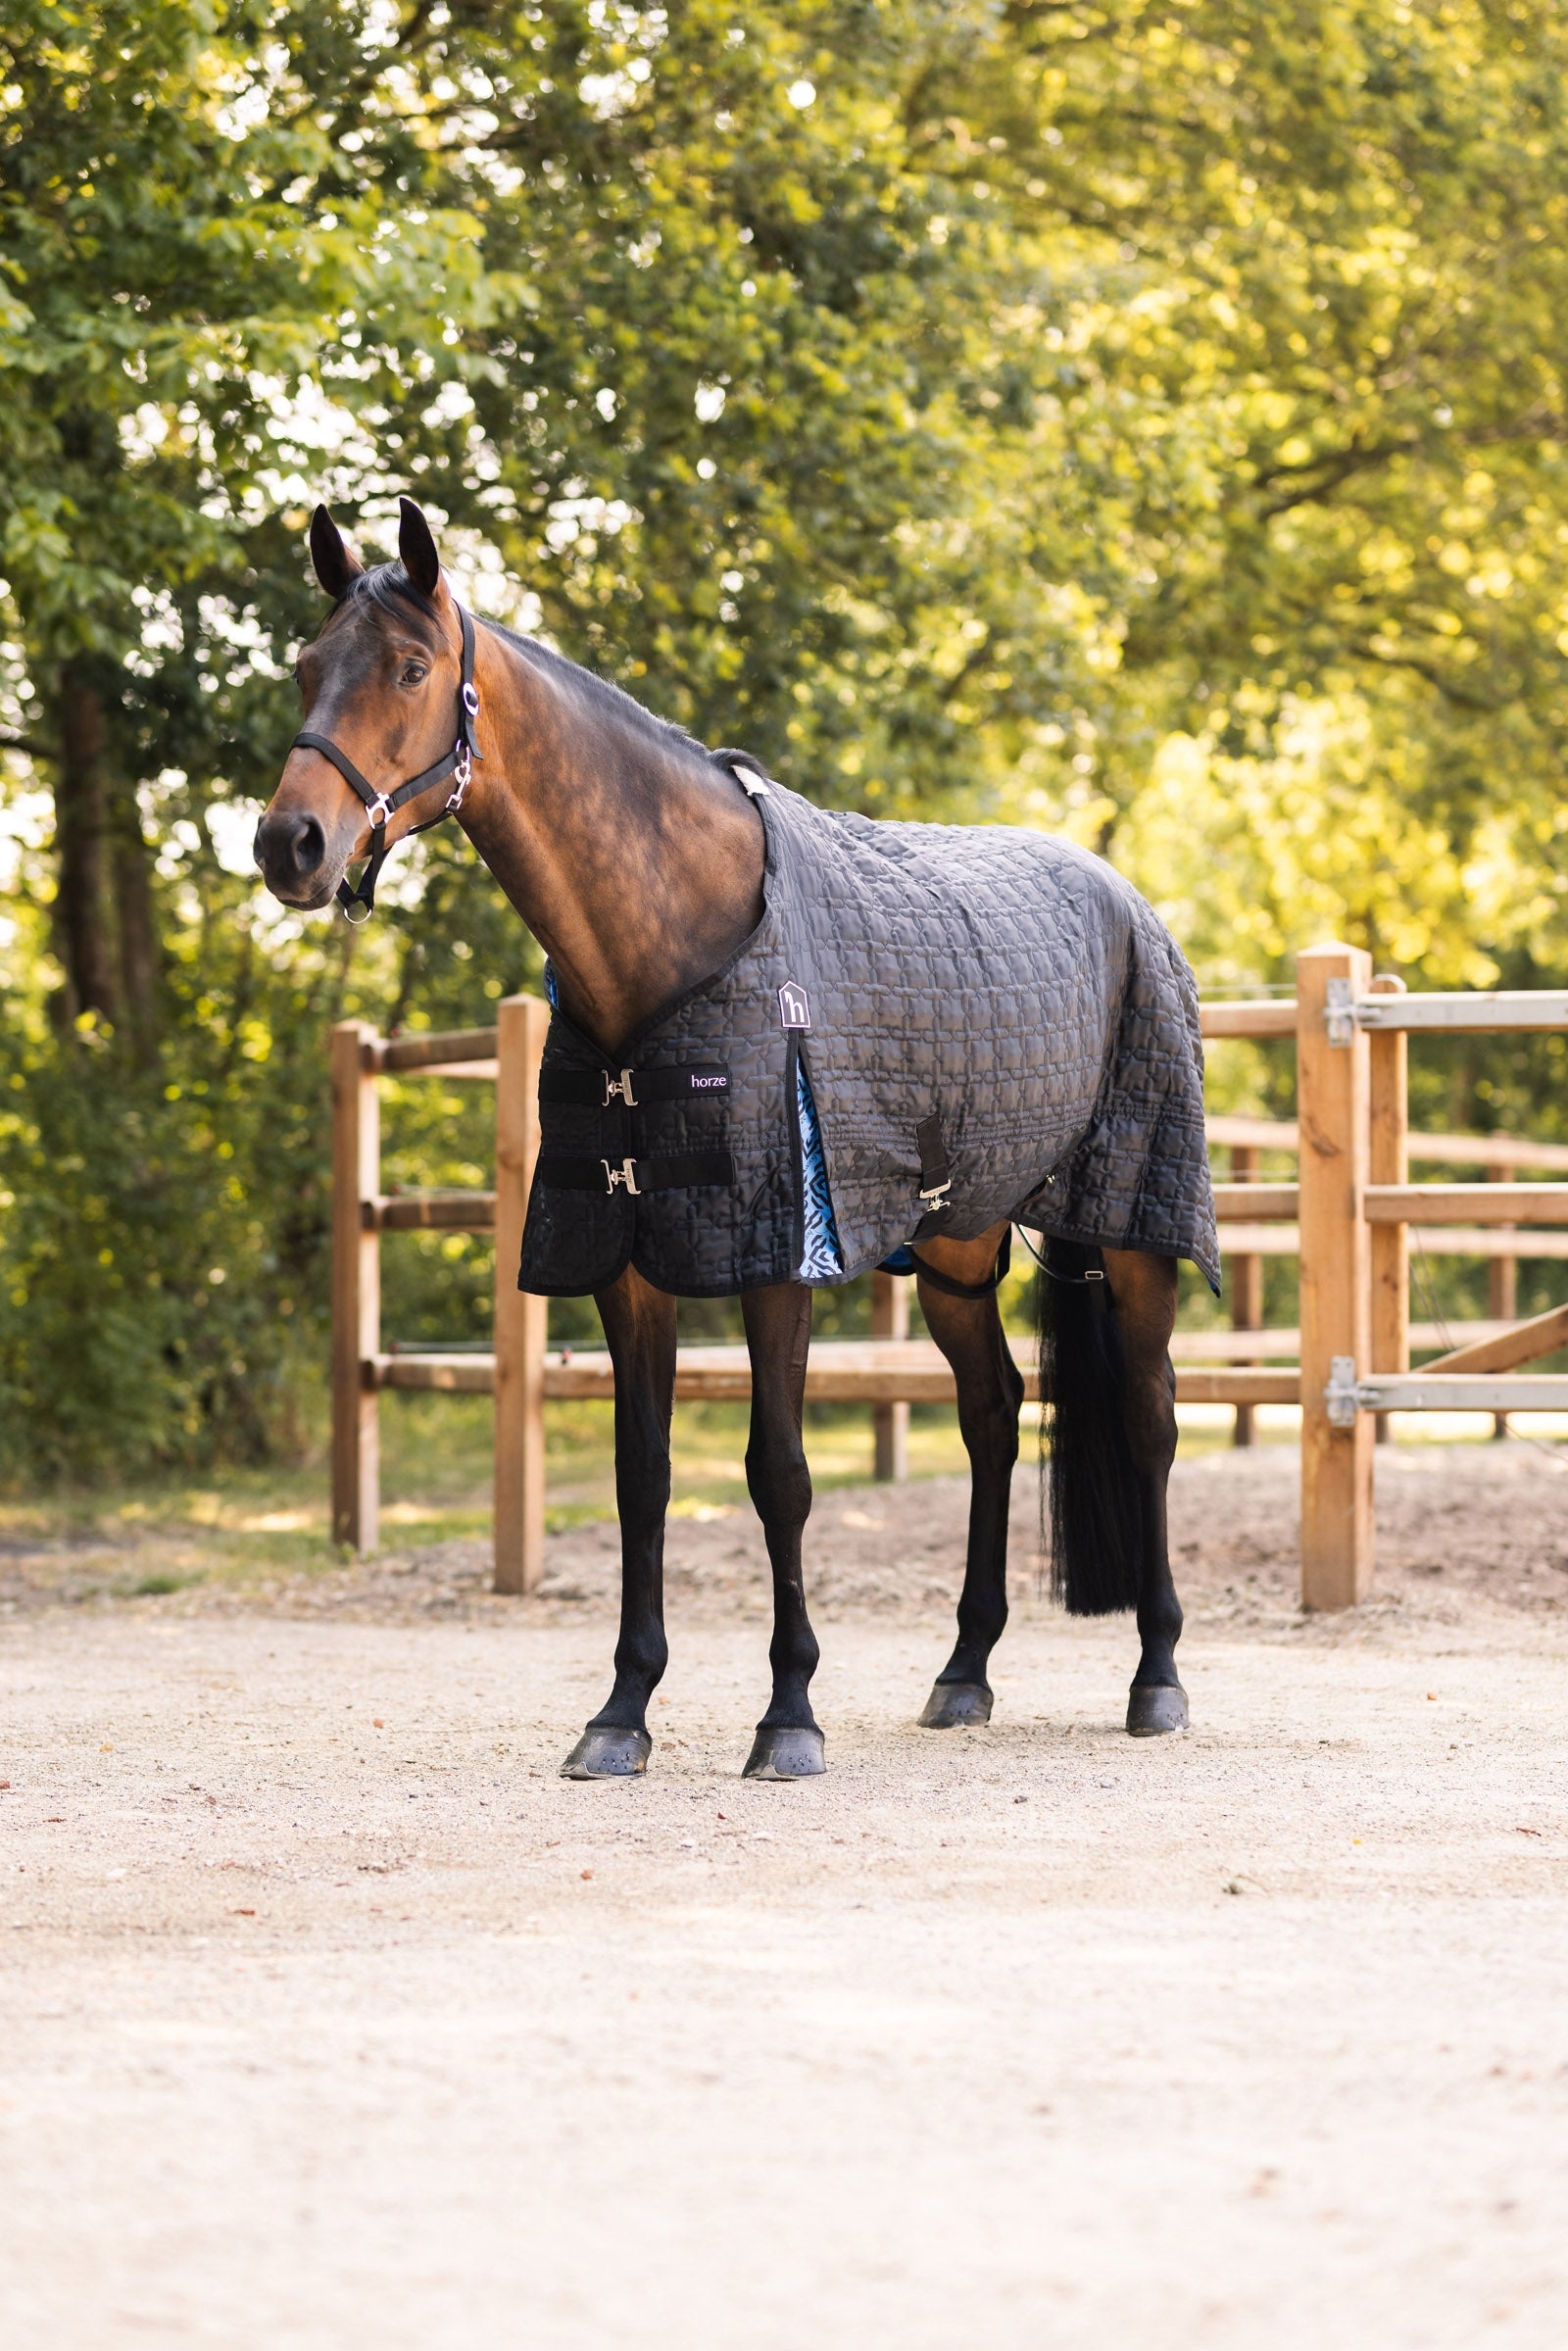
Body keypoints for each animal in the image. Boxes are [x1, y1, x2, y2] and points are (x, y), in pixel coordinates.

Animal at [255, 497, 1213, 1780]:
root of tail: (1130, 902)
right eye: (308, 665)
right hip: (955, 1242)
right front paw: (620, 1712)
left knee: (1152, 1417)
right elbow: (642, 1474)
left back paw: (1157, 1675)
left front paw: (789, 1713)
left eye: (409, 666)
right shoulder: (627, 1254)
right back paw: (963, 1670)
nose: (290, 845)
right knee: (993, 1414)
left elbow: (779, 1474)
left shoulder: (776, 1252)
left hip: (1134, 1226)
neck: (669, 938)